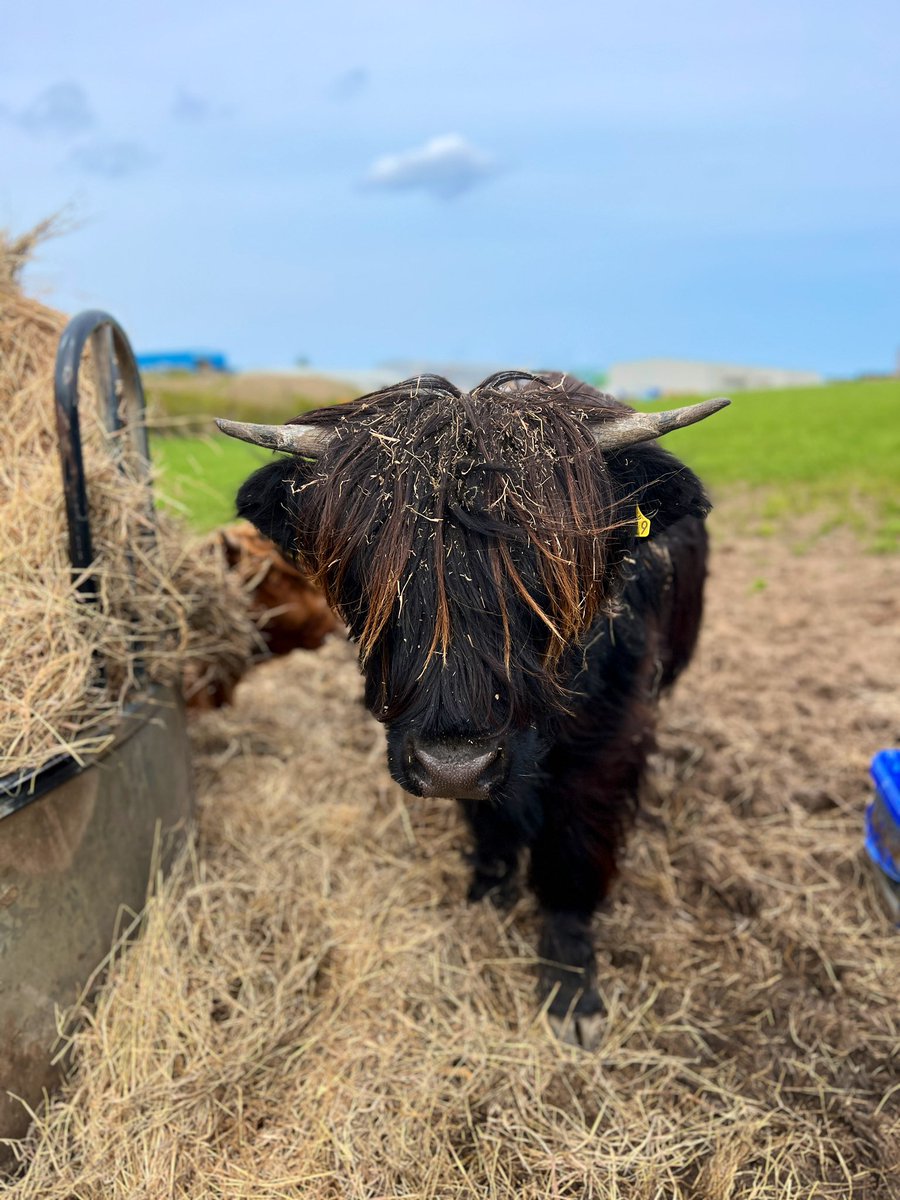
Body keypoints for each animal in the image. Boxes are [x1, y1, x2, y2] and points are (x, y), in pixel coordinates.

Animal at [220, 372, 734, 1041]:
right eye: (366, 566)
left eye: (548, 567)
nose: (452, 765)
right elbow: (487, 814)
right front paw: (489, 882)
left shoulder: (607, 742)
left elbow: (572, 848)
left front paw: (571, 986)